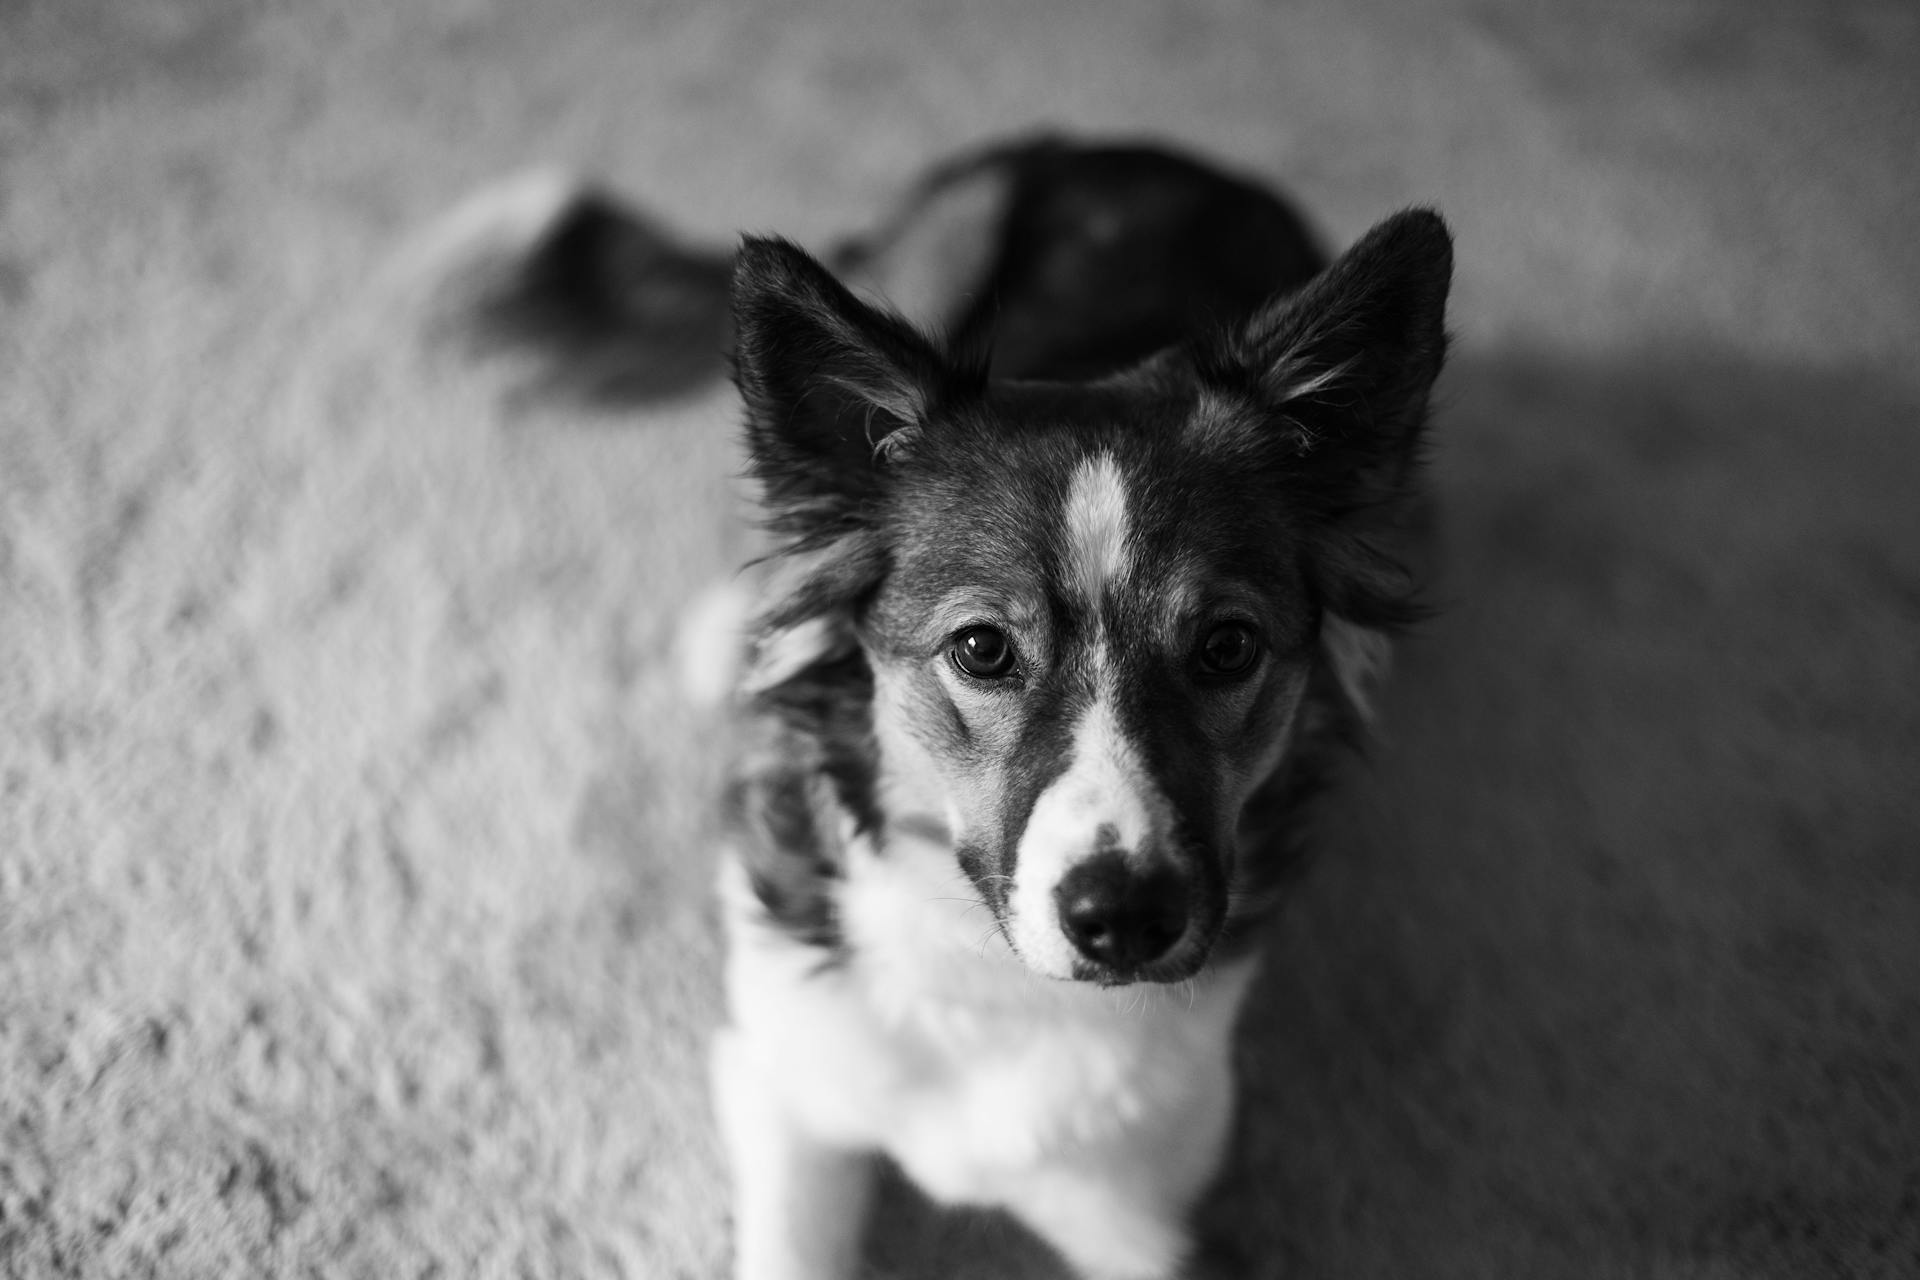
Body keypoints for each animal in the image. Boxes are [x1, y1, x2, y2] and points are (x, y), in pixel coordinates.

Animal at [432, 138, 1451, 1280]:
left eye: (1228, 647)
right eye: (981, 648)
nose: (1125, 919)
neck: (991, 977)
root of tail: (1150, 153)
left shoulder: (1145, 1212)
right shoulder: (778, 1080)